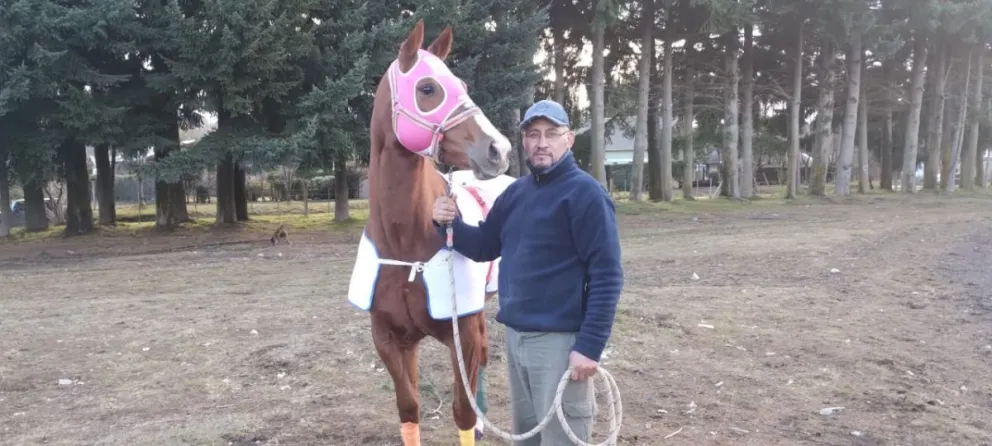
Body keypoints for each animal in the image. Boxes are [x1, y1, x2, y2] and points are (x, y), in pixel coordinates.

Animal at [346, 20, 513, 446]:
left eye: (463, 84)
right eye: (427, 89)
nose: (499, 149)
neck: (406, 246)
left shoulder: (460, 333)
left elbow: (461, 412)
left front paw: (474, 422)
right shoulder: (390, 340)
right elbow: (409, 408)